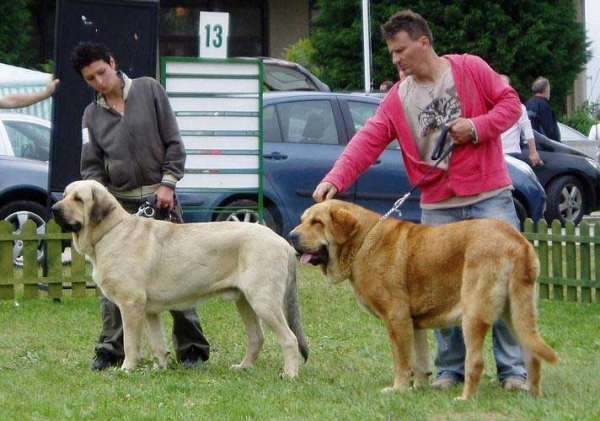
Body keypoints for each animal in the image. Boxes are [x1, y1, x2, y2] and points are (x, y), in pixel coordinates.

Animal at [50, 179, 310, 376]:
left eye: (78, 199)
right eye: (65, 195)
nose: (53, 209)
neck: (109, 232)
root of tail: (284, 243)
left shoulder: (131, 305)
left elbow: (131, 343)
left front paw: (126, 369)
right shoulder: (149, 311)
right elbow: (157, 343)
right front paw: (159, 368)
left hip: (263, 301)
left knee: (289, 339)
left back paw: (289, 374)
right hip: (245, 301)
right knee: (257, 338)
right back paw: (242, 367)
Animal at [288, 199, 556, 398]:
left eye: (317, 222)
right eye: (302, 221)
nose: (291, 236)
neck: (362, 241)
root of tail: (517, 240)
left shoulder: (396, 318)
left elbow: (401, 360)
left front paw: (398, 389)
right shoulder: (413, 323)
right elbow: (418, 361)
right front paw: (418, 388)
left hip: (473, 314)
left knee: (476, 362)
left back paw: (465, 398)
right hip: (516, 313)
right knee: (532, 355)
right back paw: (532, 395)